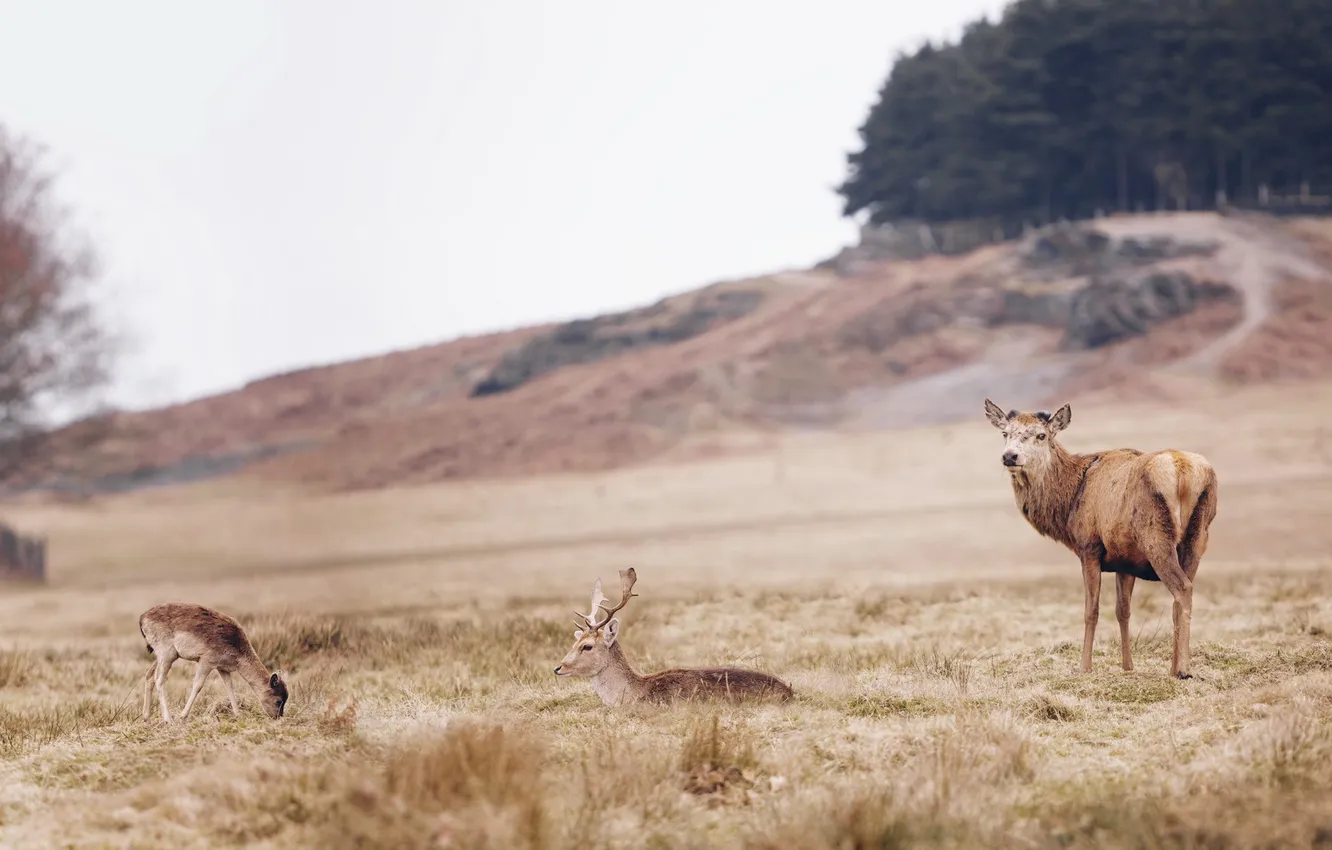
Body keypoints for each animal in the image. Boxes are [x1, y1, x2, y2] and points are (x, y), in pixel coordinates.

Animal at [139, 602, 289, 723]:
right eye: (278, 700)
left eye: (286, 698)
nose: (277, 717)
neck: (237, 650)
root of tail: (142, 619)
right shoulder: (206, 660)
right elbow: (197, 685)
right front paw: (182, 716)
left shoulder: (222, 668)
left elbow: (229, 687)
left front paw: (238, 715)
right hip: (167, 654)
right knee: (159, 680)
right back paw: (168, 719)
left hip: (161, 656)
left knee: (149, 675)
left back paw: (146, 718)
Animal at [983, 399, 1219, 679]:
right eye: (1005, 433)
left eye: (1041, 435)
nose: (1010, 456)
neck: (1069, 503)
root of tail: (1183, 470)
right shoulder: (1125, 560)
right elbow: (1123, 610)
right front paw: (1128, 666)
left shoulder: (1089, 547)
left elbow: (1091, 611)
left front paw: (1084, 667)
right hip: (1197, 537)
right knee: (1183, 594)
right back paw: (1174, 666)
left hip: (1156, 537)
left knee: (1182, 588)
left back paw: (1183, 670)